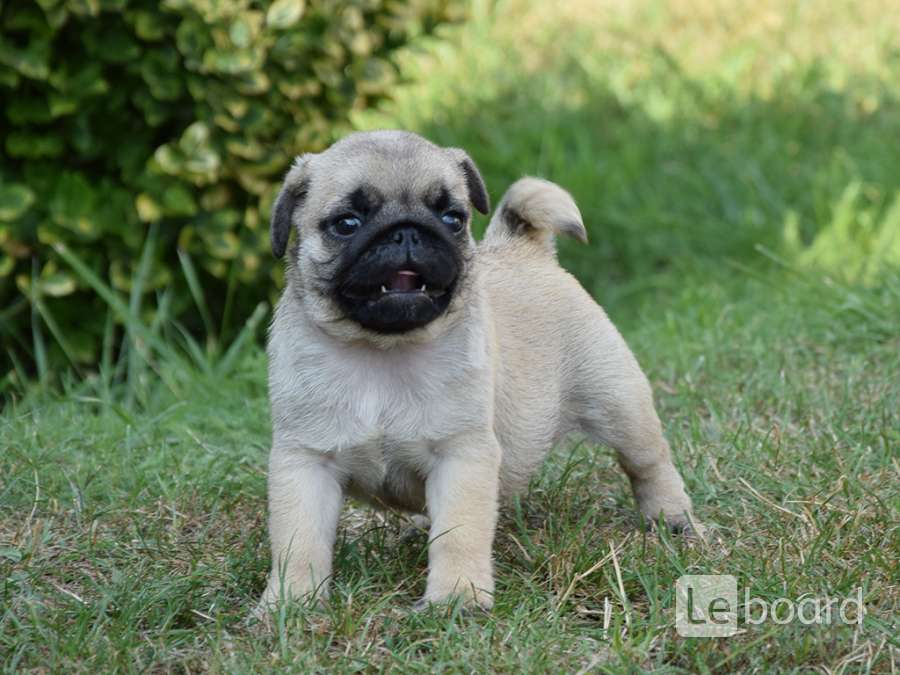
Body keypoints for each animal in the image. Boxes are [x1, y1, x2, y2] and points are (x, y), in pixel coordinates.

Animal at [256, 129, 700, 608]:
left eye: (452, 218)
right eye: (347, 224)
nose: (407, 231)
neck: (382, 350)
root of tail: (524, 247)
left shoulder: (461, 454)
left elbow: (459, 533)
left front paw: (456, 597)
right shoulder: (305, 462)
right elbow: (299, 541)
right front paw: (291, 602)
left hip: (618, 402)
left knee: (648, 462)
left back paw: (671, 517)